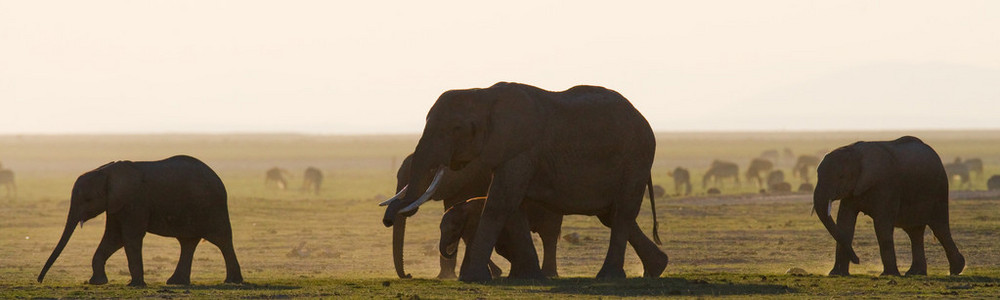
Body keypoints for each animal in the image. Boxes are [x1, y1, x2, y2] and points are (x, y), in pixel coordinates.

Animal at [39, 156, 244, 288]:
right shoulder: (116, 205)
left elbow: (129, 237)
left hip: (212, 207)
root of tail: (218, 178)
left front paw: (134, 285)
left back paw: (232, 281)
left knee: (222, 240)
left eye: (87, 200)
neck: (106, 171)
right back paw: (176, 282)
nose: (39, 281)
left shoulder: (134, 202)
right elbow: (114, 238)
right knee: (187, 242)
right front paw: (97, 282)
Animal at [378, 82, 668, 282]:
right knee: (613, 214)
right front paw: (525, 277)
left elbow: (500, 203)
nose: (387, 220)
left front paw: (473, 279)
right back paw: (656, 269)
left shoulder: (520, 148)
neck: (482, 95)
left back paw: (608, 277)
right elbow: (512, 207)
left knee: (622, 213)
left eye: (455, 129)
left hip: (636, 157)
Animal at [816, 136, 964, 276]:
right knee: (915, 233)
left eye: (841, 177)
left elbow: (882, 224)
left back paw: (956, 269)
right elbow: (845, 222)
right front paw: (836, 274)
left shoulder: (886, 185)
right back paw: (915, 273)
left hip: (939, 189)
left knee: (939, 229)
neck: (855, 152)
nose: (858, 260)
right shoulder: (853, 190)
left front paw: (888, 274)